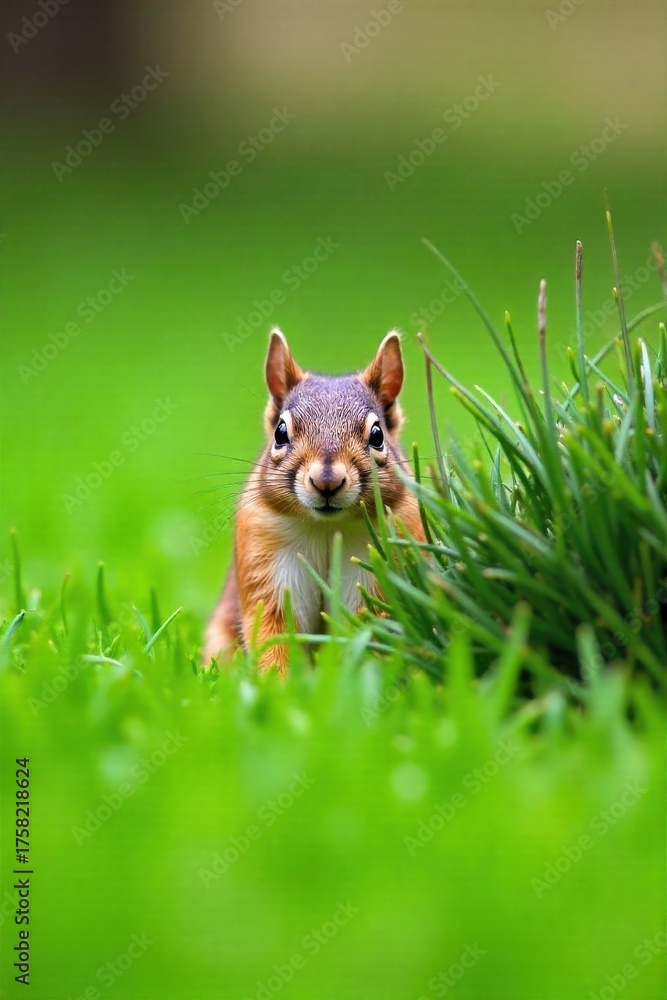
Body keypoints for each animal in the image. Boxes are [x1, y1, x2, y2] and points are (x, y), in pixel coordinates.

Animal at [203, 328, 424, 673]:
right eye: (280, 432)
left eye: (377, 435)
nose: (327, 481)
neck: (326, 529)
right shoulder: (269, 568)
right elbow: (273, 635)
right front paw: (276, 682)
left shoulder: (378, 571)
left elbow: (371, 631)